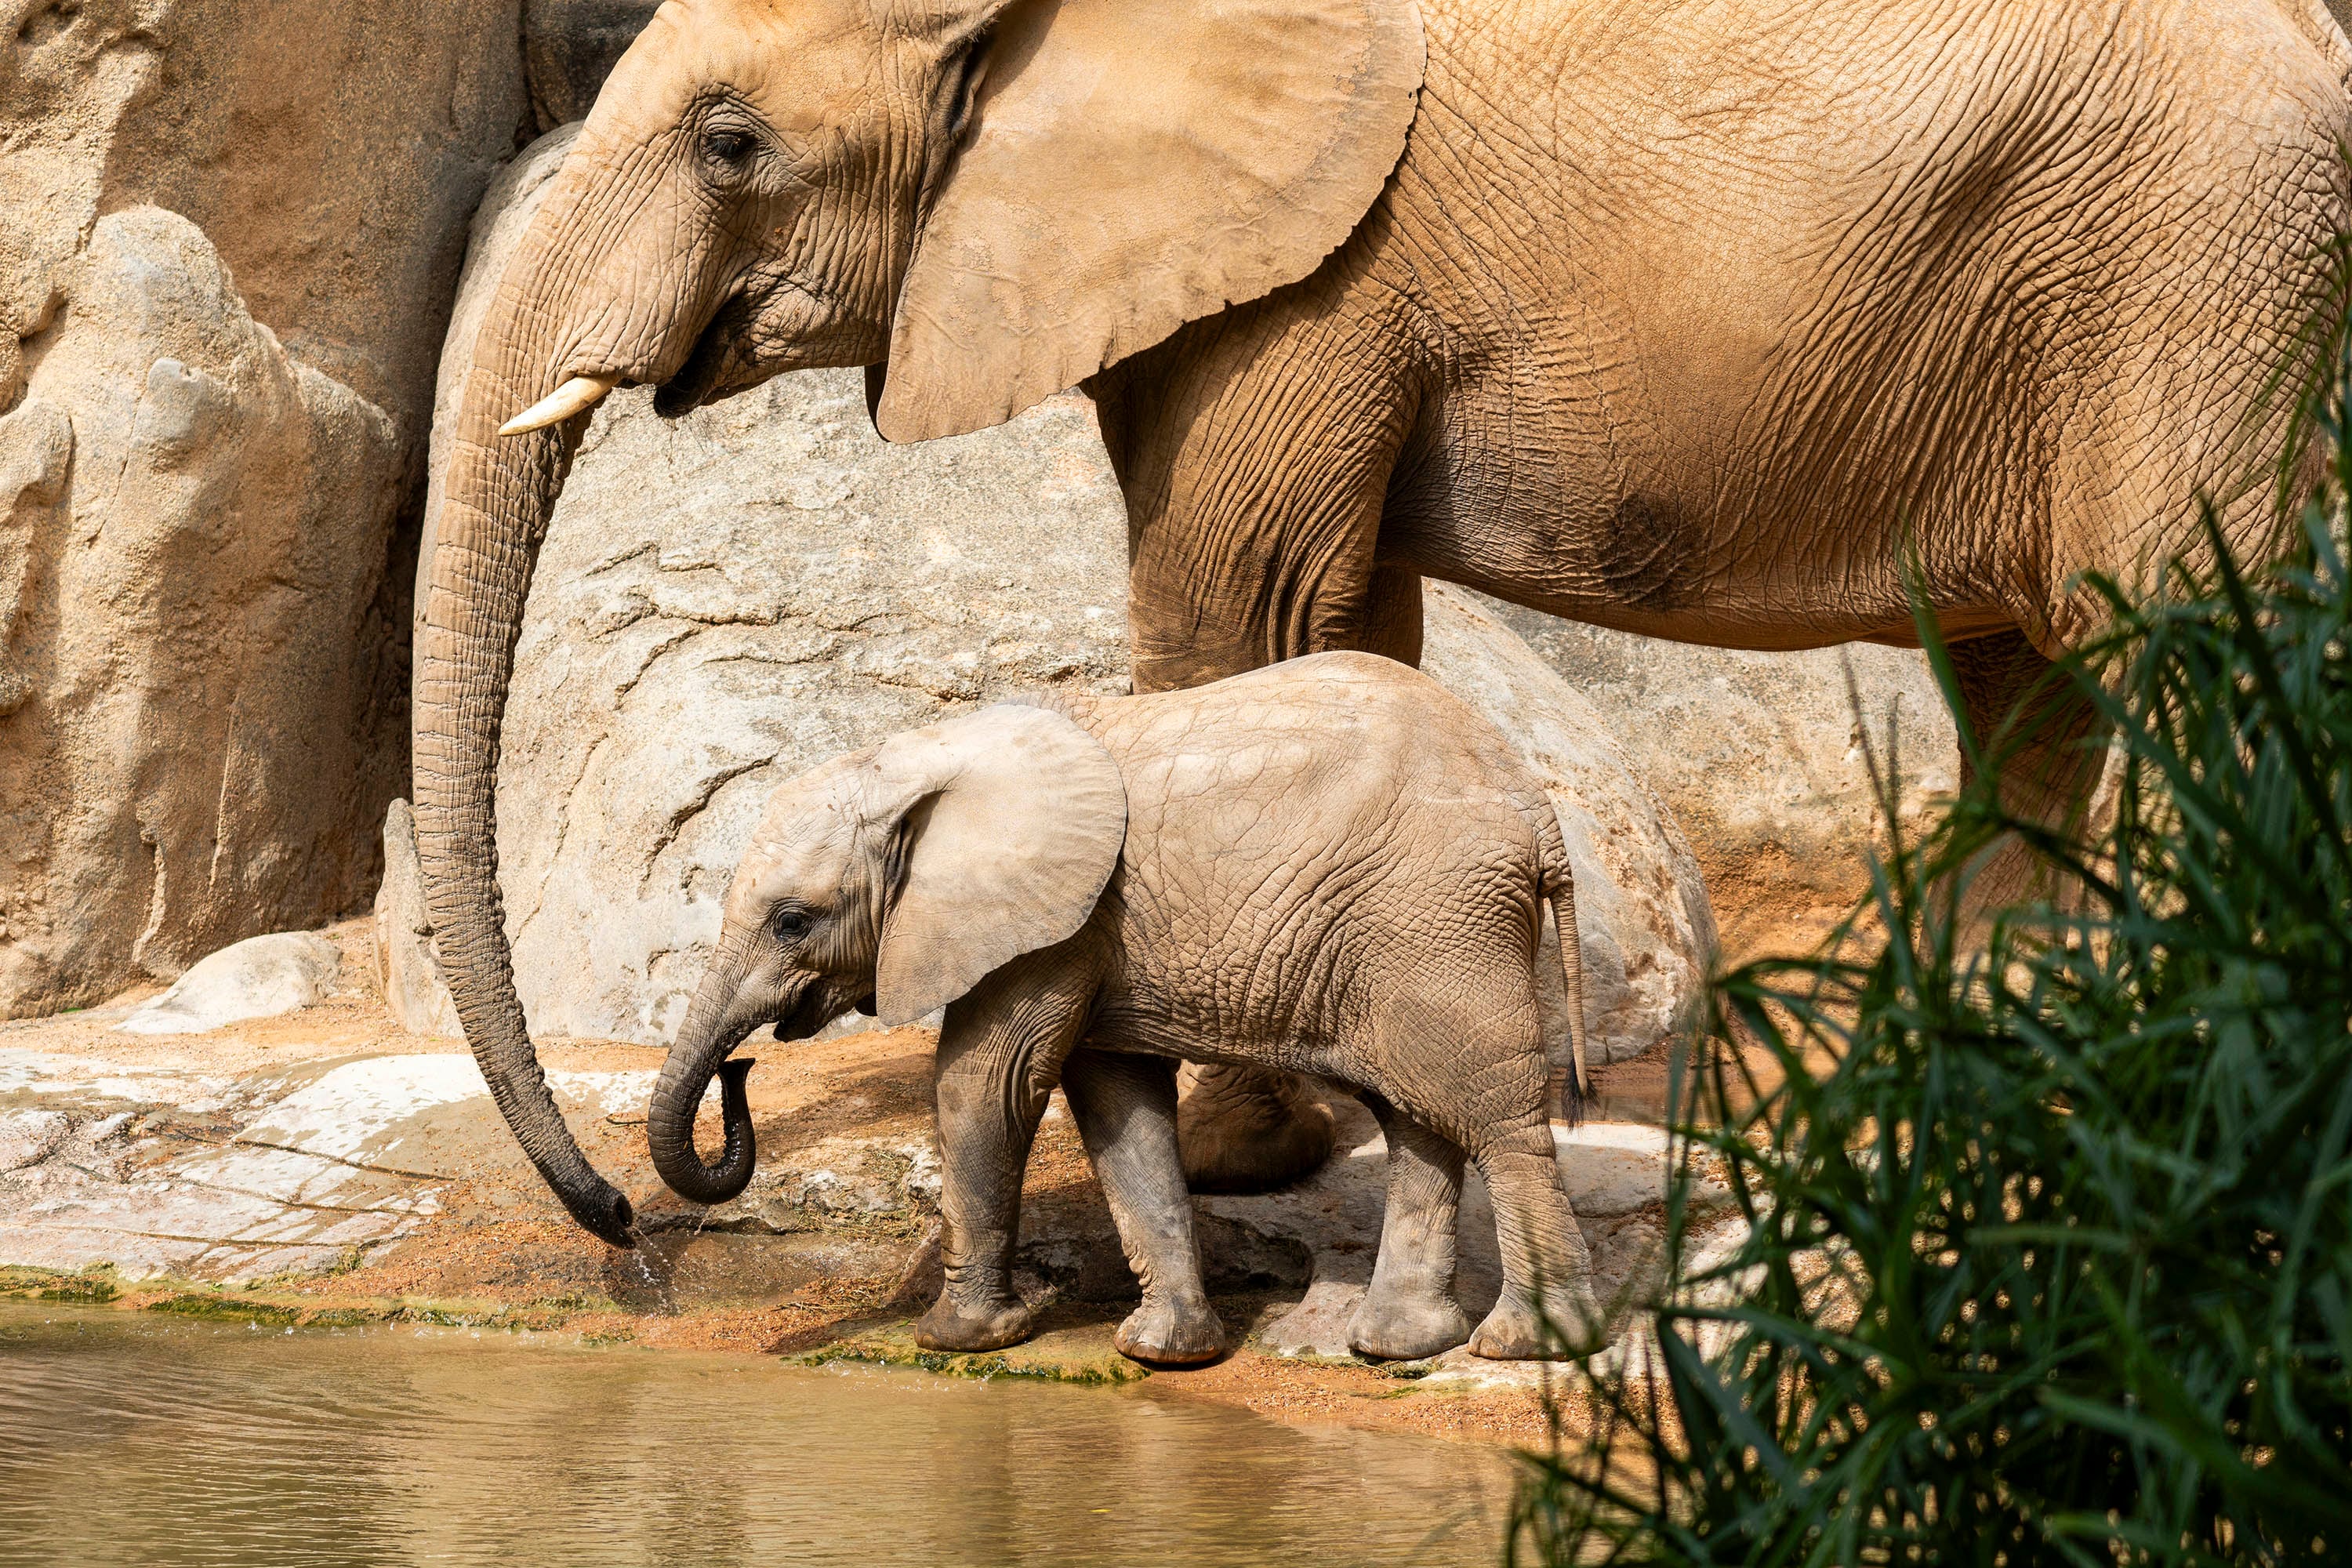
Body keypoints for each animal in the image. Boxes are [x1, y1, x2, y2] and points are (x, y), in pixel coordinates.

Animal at [419, 0, 2352, 1241]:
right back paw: (1970, 1109)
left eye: (729, 140)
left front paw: (1222, 1151)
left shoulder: (1318, 280)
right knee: (2041, 697)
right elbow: (1353, 626)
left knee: (2177, 653)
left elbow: (1235, 608)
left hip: (2197, 273)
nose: (622, 1211)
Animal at [649, 648, 1599, 1363]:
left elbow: (984, 1087)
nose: (742, 1066)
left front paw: (963, 1338)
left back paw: (1525, 1346)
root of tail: (1535, 805)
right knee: (1416, 1116)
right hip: (1396, 938)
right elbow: (1118, 1109)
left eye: (792, 922)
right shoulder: (1089, 932)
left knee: (1493, 1115)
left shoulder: (1053, 923)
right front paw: (1164, 1352)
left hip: (1435, 919)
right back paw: (1399, 1346)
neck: (918, 756)